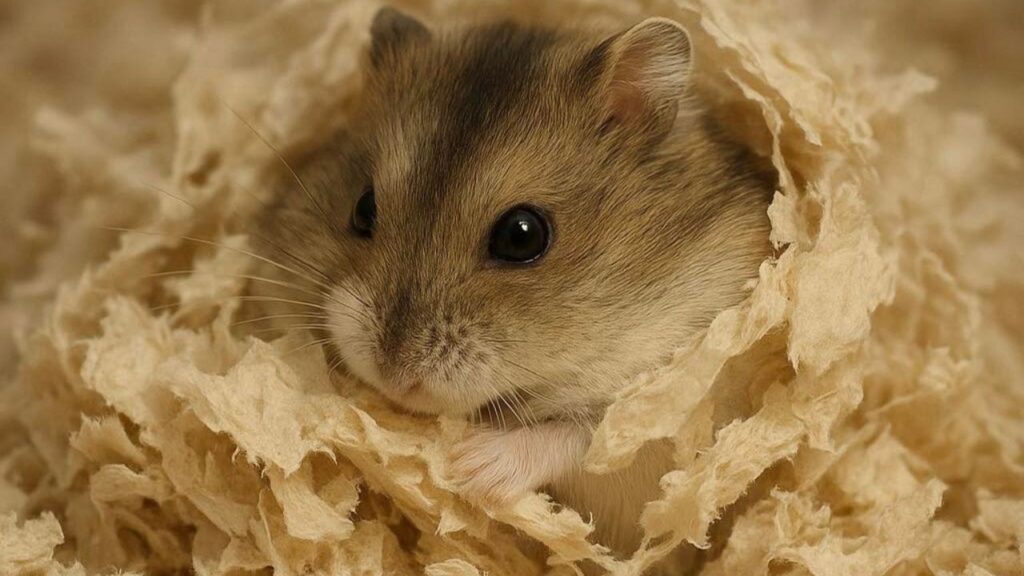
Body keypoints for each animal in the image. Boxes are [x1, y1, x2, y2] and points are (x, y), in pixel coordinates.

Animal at [251, 7, 774, 569]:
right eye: (362, 209)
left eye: (522, 236)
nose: (393, 377)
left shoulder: (672, 412)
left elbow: (580, 438)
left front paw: (466, 466)